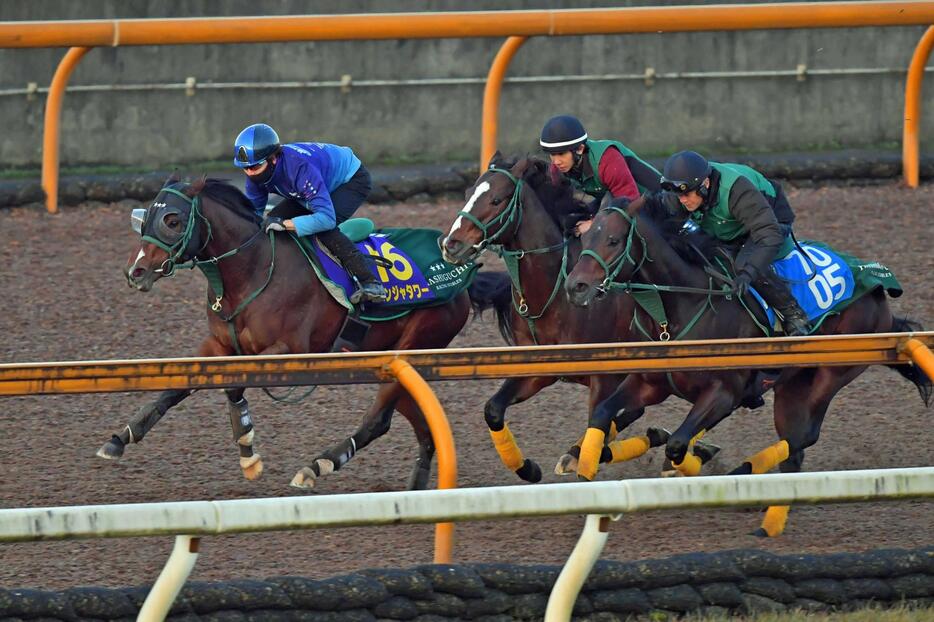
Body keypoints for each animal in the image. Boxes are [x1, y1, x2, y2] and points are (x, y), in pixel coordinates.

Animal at [102, 178, 512, 490]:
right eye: (145, 218)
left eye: (172, 219)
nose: (135, 272)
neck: (253, 269)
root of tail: (461, 276)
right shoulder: (218, 344)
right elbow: (178, 386)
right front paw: (121, 437)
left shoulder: (290, 349)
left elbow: (234, 385)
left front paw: (248, 452)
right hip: (395, 359)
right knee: (416, 418)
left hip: (418, 342)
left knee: (378, 420)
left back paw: (319, 465)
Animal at [442, 156, 700, 482]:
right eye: (467, 194)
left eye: (496, 199)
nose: (450, 245)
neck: (555, 295)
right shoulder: (541, 369)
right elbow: (493, 409)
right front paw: (528, 468)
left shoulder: (605, 376)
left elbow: (598, 428)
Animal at [564, 199, 928, 536]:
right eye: (585, 238)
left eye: (613, 240)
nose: (575, 286)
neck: (684, 304)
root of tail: (877, 285)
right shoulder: (649, 383)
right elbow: (603, 415)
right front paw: (585, 471)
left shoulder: (724, 393)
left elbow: (678, 444)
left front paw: (694, 458)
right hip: (792, 385)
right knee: (794, 448)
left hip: (830, 373)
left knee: (802, 437)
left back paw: (745, 477)